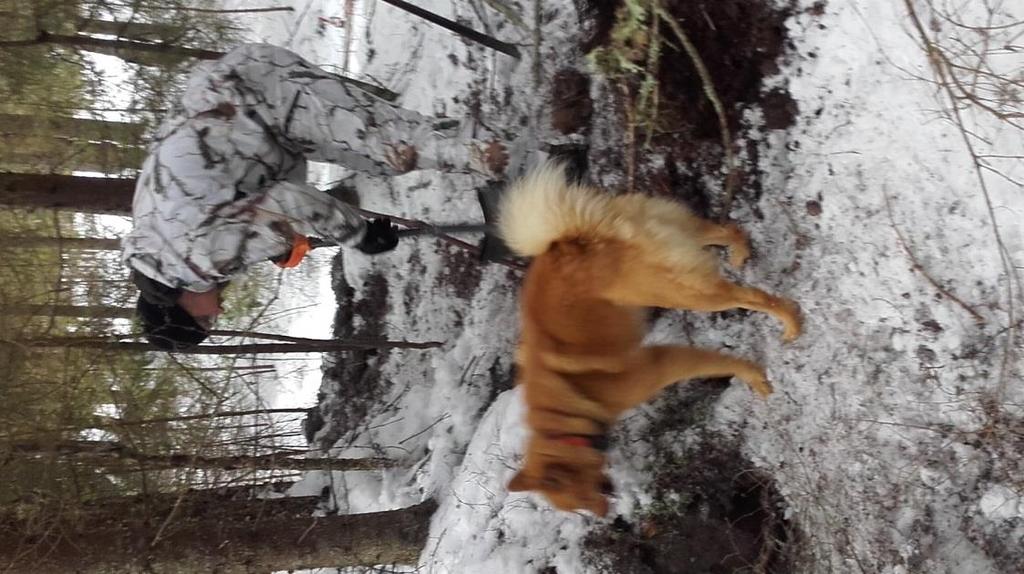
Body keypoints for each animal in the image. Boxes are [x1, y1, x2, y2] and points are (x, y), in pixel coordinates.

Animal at [499, 161, 802, 515]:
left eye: (578, 501)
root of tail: (577, 238)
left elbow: (722, 362)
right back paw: (739, 252)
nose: (604, 514)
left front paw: (752, 376)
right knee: (725, 230)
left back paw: (791, 321)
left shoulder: (658, 366)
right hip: (677, 237)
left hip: (682, 293)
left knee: (754, 296)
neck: (566, 413)